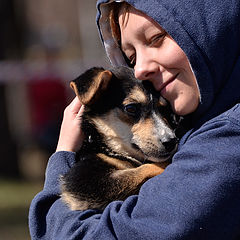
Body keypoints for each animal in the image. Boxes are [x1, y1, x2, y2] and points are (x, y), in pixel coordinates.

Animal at [61, 65, 181, 210]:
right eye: (131, 108)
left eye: (165, 109)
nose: (171, 142)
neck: (108, 149)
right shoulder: (81, 181)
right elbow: (144, 169)